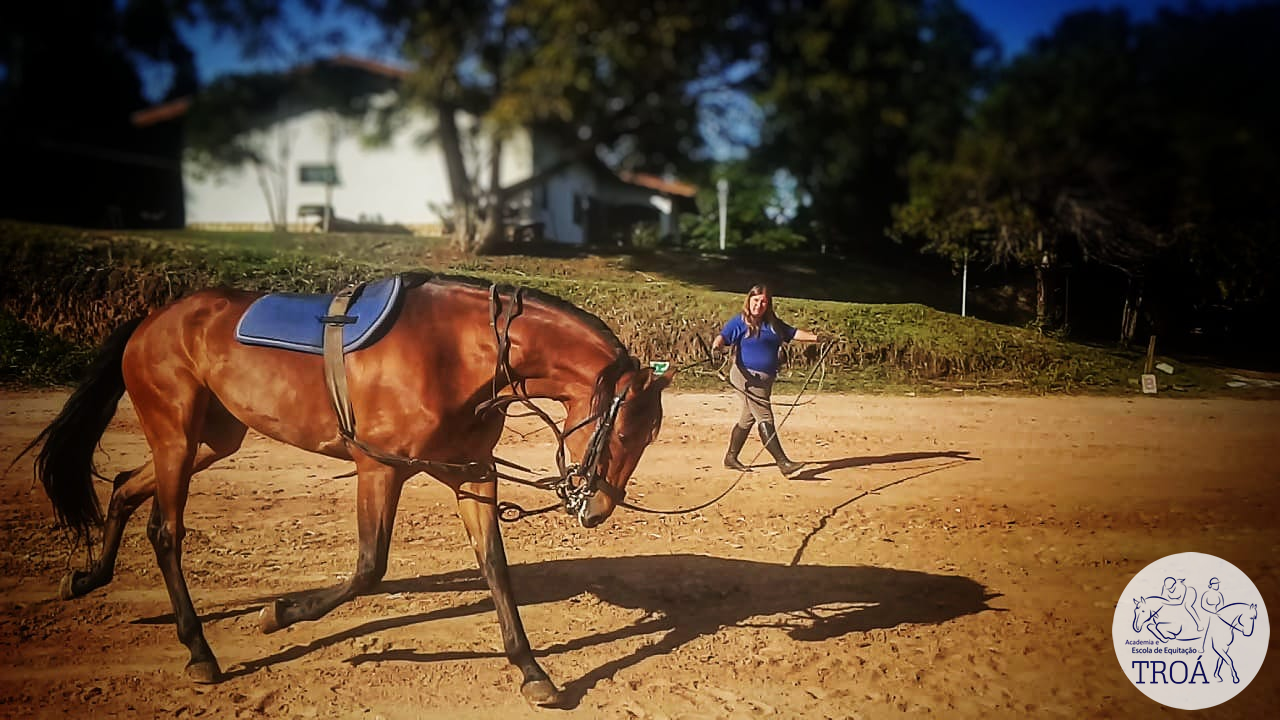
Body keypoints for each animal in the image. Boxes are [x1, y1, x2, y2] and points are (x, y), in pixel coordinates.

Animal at [24, 271, 675, 702]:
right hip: (176, 438)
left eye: (649, 436)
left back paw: (89, 577)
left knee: (123, 488)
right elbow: (369, 569)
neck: (457, 351)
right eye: (624, 431)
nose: (598, 507)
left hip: (213, 439)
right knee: (165, 531)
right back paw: (199, 649)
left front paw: (532, 671)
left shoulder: (472, 472)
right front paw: (279, 615)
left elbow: (495, 567)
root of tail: (152, 319)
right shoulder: (378, 468)